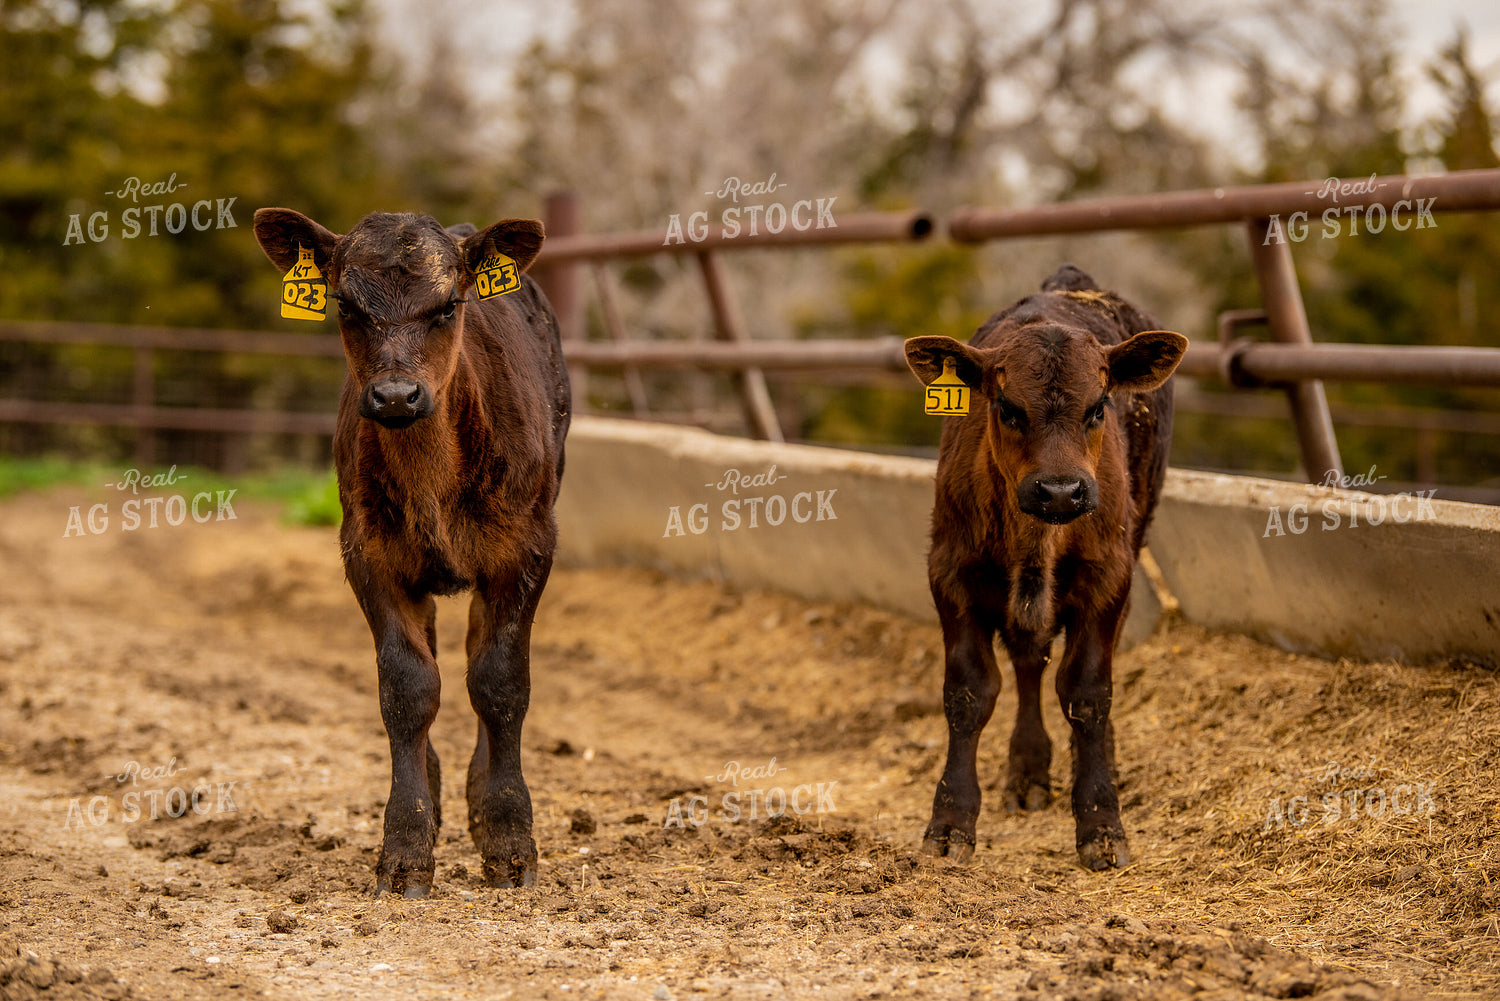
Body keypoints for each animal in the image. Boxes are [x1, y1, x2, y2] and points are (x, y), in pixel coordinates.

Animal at [253, 207, 570, 897]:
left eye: (448, 305)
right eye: (346, 305)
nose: (396, 396)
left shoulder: (527, 547)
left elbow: (501, 682)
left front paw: (510, 841)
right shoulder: (369, 554)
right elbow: (407, 688)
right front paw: (405, 849)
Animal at [903, 265, 1187, 870]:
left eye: (1098, 406)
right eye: (1007, 408)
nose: (1060, 490)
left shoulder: (1108, 579)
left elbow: (1088, 692)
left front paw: (1101, 821)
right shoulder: (951, 574)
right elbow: (969, 692)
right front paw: (951, 822)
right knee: (1028, 662)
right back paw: (1028, 769)